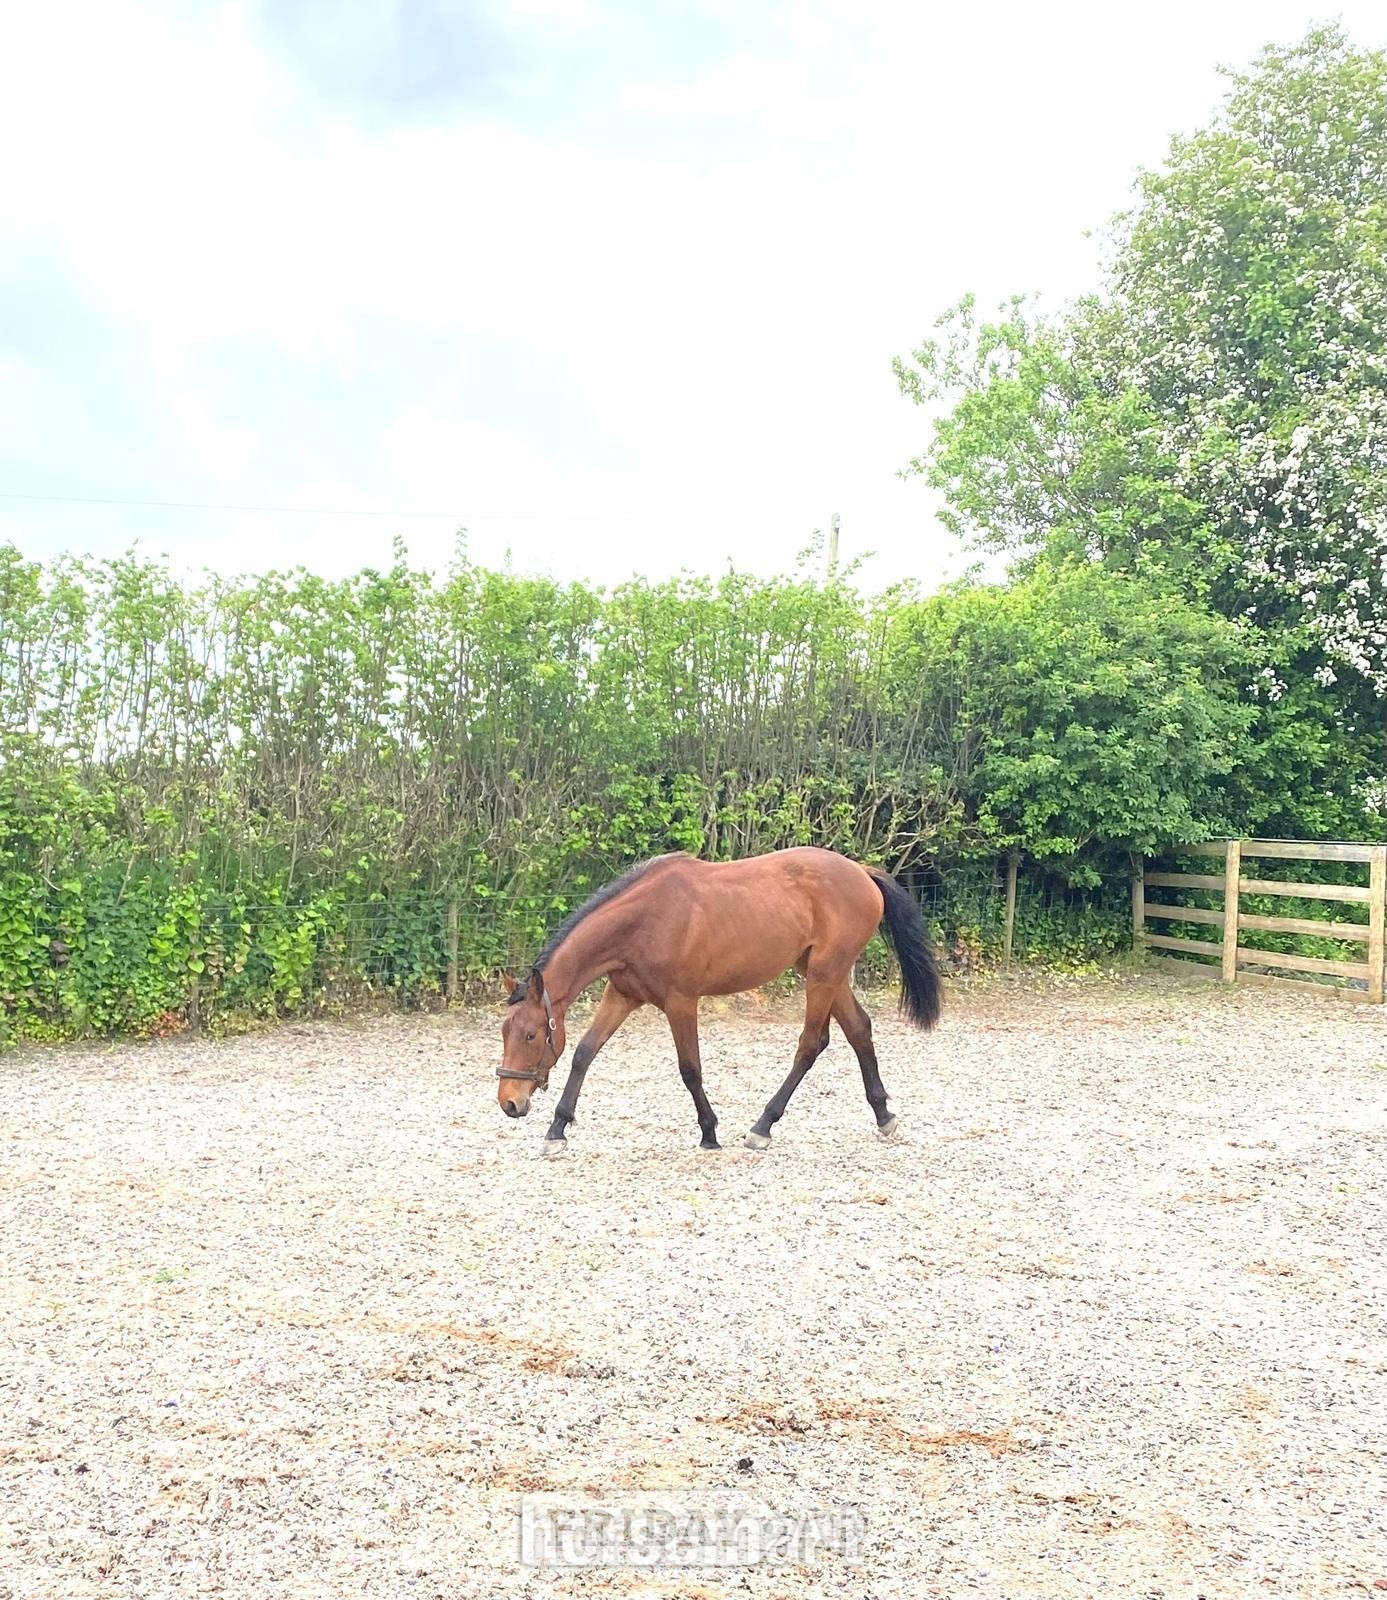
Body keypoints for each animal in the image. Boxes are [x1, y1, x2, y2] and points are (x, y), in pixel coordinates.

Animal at [495, 846, 941, 1155]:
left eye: (531, 1035)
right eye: (504, 1032)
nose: (509, 1103)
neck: (643, 921)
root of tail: (862, 873)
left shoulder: (681, 1002)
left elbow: (690, 1069)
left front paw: (709, 1131)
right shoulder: (622, 995)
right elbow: (584, 1053)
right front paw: (557, 1130)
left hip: (823, 975)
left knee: (811, 1044)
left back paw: (762, 1127)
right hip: (824, 973)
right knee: (859, 1030)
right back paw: (884, 1116)